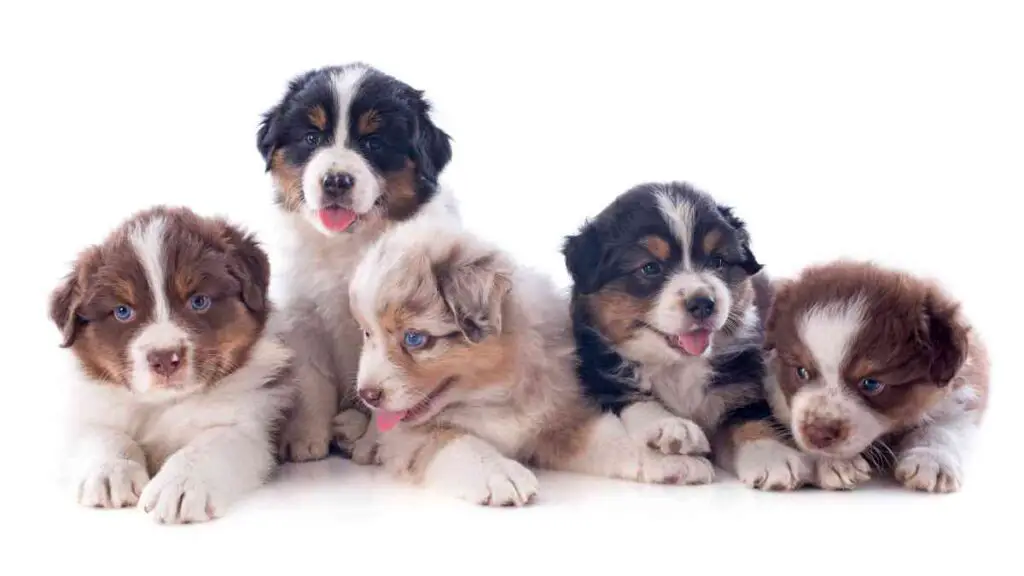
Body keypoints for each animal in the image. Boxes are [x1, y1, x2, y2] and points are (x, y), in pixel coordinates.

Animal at [50, 204, 292, 520]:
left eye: (199, 301)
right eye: (123, 311)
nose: (164, 358)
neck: (163, 404)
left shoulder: (248, 425)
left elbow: (208, 445)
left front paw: (180, 484)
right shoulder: (89, 409)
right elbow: (103, 433)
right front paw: (111, 470)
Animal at [253, 61, 454, 461]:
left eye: (374, 143)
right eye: (312, 138)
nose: (336, 180)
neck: (347, 246)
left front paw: (375, 446)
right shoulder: (303, 320)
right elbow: (312, 383)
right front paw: (305, 439)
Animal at [344, 217, 712, 504]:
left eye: (415, 339)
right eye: (366, 334)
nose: (367, 395)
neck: (490, 394)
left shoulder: (560, 416)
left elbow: (609, 437)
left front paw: (668, 459)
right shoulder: (410, 435)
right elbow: (457, 441)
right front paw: (499, 472)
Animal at [561, 181, 782, 485]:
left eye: (718, 261)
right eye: (650, 267)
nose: (703, 303)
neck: (677, 366)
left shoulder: (742, 379)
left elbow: (750, 415)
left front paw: (770, 455)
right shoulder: (600, 373)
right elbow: (634, 399)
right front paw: (673, 426)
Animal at [753, 259, 991, 487]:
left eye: (871, 383)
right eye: (801, 372)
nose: (818, 435)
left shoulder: (965, 390)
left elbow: (945, 428)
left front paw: (931, 460)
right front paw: (837, 463)